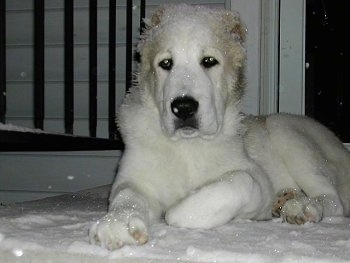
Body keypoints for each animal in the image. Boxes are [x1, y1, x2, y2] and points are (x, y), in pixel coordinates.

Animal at [88, 4, 350, 252]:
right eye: (165, 64)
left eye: (209, 61)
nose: (183, 107)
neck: (187, 146)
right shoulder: (136, 178)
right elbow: (126, 195)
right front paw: (117, 223)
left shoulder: (257, 179)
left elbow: (237, 182)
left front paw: (177, 210)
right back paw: (286, 199)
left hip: (286, 132)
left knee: (333, 199)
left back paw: (302, 205)